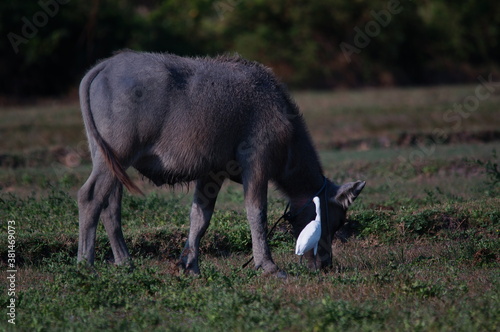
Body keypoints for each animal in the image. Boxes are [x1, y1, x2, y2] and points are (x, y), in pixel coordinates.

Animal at [78, 51, 366, 274]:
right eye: (336, 221)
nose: (325, 263)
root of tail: (105, 66)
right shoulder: (257, 163)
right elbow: (257, 212)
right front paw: (268, 266)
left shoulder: (212, 173)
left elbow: (200, 216)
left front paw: (191, 265)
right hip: (119, 156)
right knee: (90, 197)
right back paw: (86, 264)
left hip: (111, 162)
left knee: (110, 206)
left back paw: (125, 262)